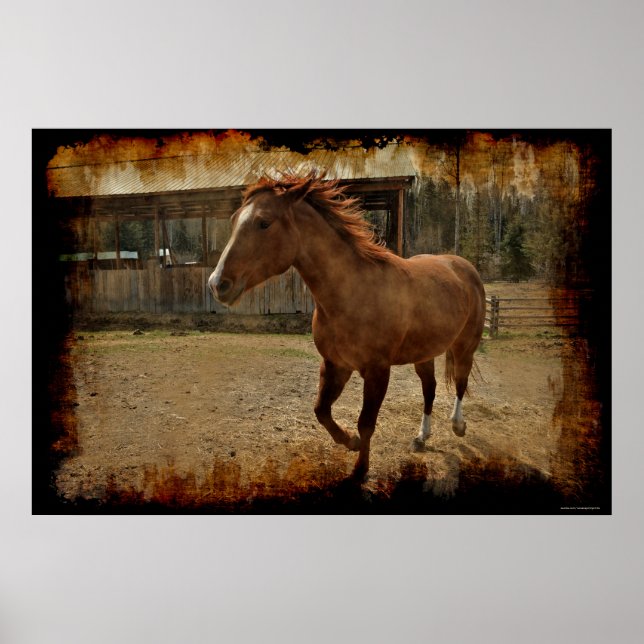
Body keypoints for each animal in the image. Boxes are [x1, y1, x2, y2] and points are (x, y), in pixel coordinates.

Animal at [208, 172, 486, 479]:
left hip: (464, 347)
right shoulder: (335, 365)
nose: (217, 284)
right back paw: (421, 437)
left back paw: (458, 425)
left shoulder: (377, 371)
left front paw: (360, 470)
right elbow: (321, 411)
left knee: (459, 382)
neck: (353, 292)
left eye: (264, 222)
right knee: (430, 389)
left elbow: (366, 422)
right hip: (424, 354)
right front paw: (350, 442)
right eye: (234, 220)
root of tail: (463, 266)